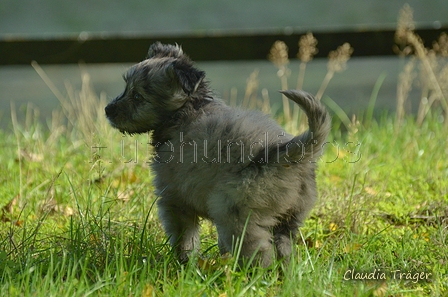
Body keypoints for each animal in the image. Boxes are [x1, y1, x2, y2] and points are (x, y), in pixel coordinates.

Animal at [104, 41, 328, 266]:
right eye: (126, 88)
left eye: (137, 96)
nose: (107, 110)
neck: (185, 111)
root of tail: (281, 152)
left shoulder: (175, 200)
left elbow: (184, 239)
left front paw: (184, 264)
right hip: (287, 221)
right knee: (284, 253)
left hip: (235, 215)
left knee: (259, 253)